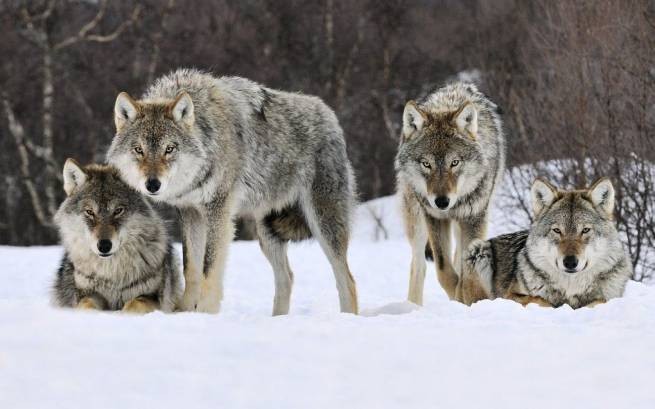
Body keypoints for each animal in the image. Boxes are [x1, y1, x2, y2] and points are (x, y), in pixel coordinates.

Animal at [52, 159, 181, 312]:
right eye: (89, 212)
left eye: (118, 211)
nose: (104, 245)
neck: (111, 273)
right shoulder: (87, 294)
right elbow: (86, 305)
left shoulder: (151, 297)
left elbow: (134, 304)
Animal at [107, 68, 358, 314]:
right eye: (139, 150)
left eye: (169, 149)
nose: (152, 184)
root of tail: (330, 115)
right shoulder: (190, 213)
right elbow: (191, 268)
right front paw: (185, 311)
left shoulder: (218, 211)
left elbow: (209, 268)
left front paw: (205, 313)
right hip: (267, 232)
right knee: (287, 278)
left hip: (323, 224)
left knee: (347, 280)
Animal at [462, 177, 636, 308]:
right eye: (557, 231)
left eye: (585, 230)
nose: (570, 262)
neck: (570, 288)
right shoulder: (509, 295)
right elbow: (540, 300)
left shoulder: (609, 298)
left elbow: (599, 301)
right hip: (478, 250)